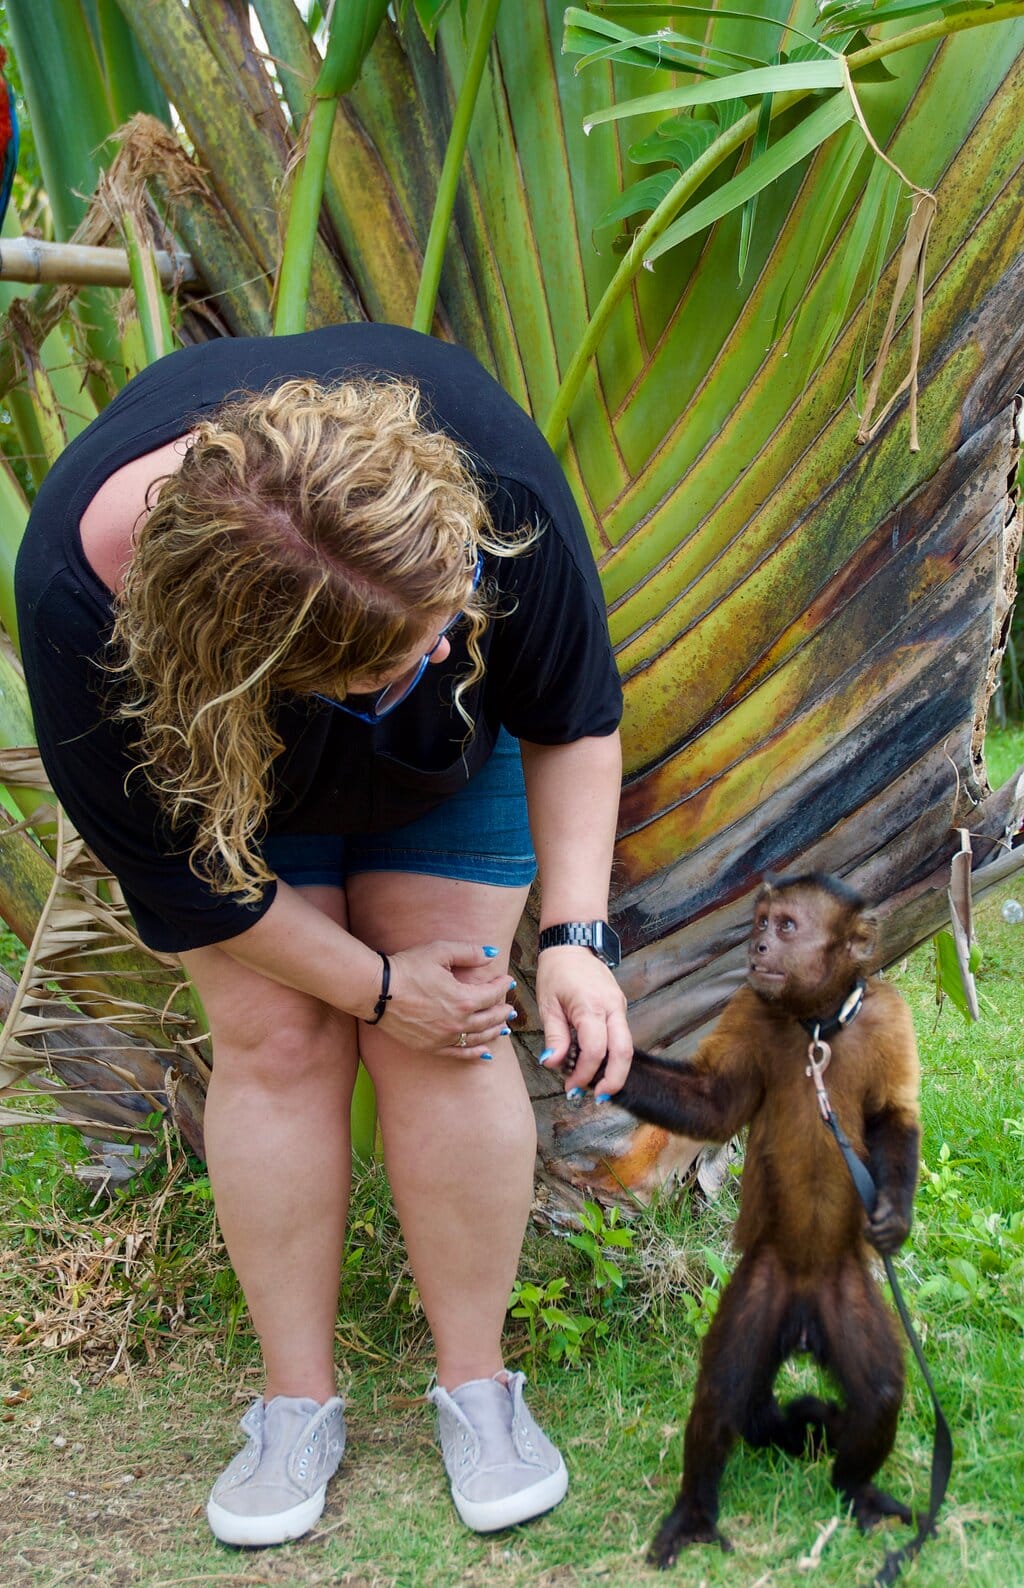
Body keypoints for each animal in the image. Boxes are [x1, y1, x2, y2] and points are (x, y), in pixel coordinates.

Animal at [591, 872, 921, 1570]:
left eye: (787, 926)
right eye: (760, 922)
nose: (758, 944)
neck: (817, 1025)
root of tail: (802, 1320)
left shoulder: (887, 1015)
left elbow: (893, 1119)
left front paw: (894, 1219)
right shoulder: (750, 1002)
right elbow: (711, 1108)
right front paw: (587, 1051)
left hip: (840, 1290)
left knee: (878, 1394)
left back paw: (856, 1488)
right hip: (763, 1284)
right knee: (723, 1393)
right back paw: (694, 1513)